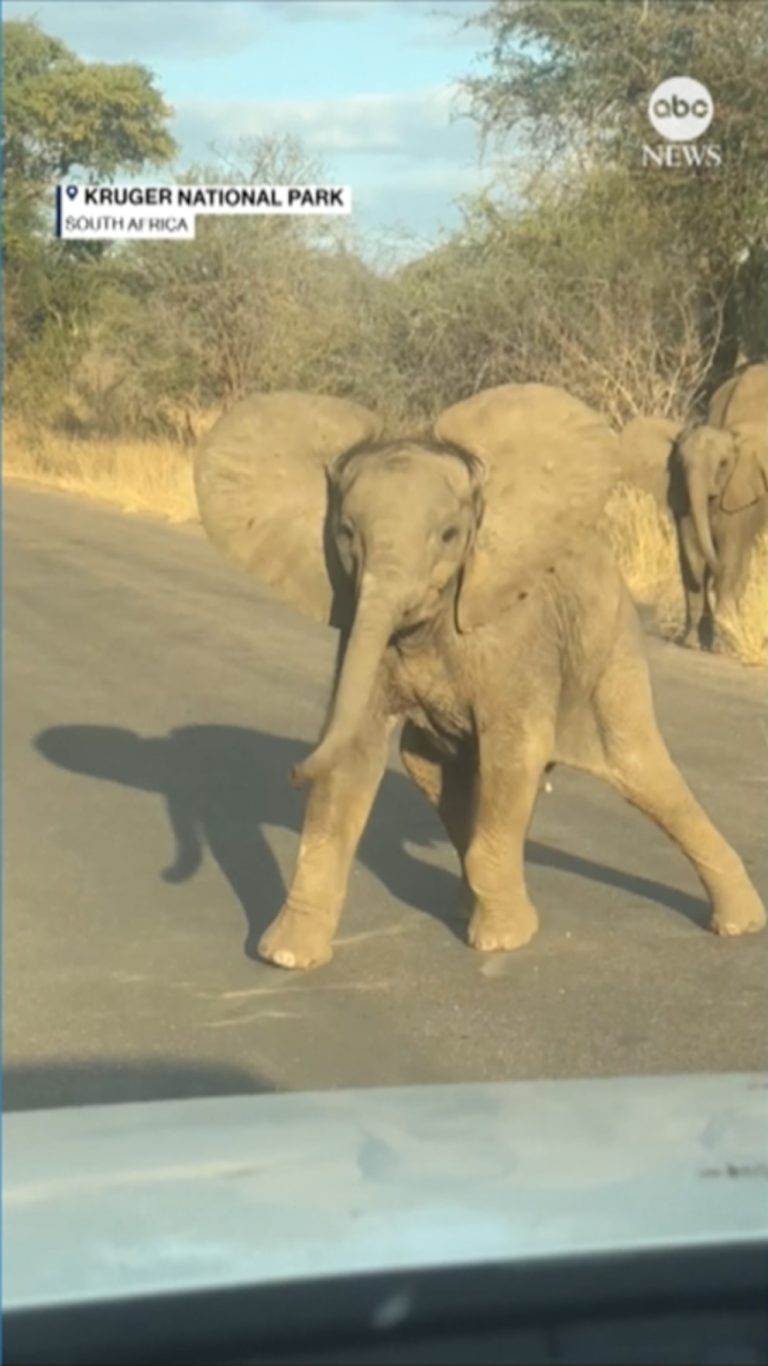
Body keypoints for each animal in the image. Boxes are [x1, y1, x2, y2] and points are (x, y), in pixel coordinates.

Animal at [618, 364, 768, 651]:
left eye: (723, 464)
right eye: (680, 463)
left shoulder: (740, 495)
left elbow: (731, 553)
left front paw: (724, 638)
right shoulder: (684, 497)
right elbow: (693, 555)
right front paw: (691, 643)